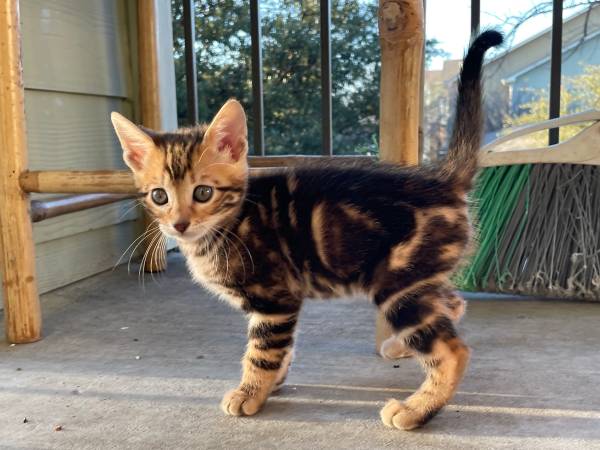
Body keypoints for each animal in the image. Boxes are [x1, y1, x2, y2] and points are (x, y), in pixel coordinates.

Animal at [111, 31, 502, 428]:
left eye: (203, 192)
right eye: (159, 196)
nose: (179, 224)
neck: (228, 225)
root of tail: (443, 180)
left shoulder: (274, 300)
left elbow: (262, 351)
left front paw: (249, 393)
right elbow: (278, 349)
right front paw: (273, 383)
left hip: (399, 283)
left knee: (453, 350)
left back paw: (415, 409)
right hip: (420, 278)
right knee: (453, 303)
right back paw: (401, 346)